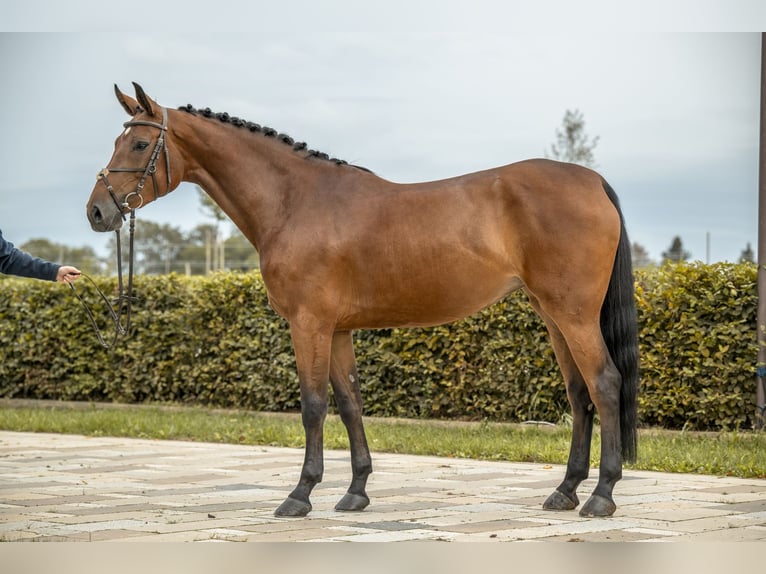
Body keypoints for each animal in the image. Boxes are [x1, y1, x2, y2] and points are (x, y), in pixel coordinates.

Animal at [87, 83, 640, 520]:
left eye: (139, 142)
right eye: (116, 140)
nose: (97, 212)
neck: (295, 202)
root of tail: (592, 180)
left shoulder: (308, 324)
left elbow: (313, 406)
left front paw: (299, 496)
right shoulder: (337, 330)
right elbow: (350, 403)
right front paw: (355, 493)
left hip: (573, 314)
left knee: (605, 383)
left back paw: (602, 496)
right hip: (552, 315)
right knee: (578, 392)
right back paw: (565, 491)